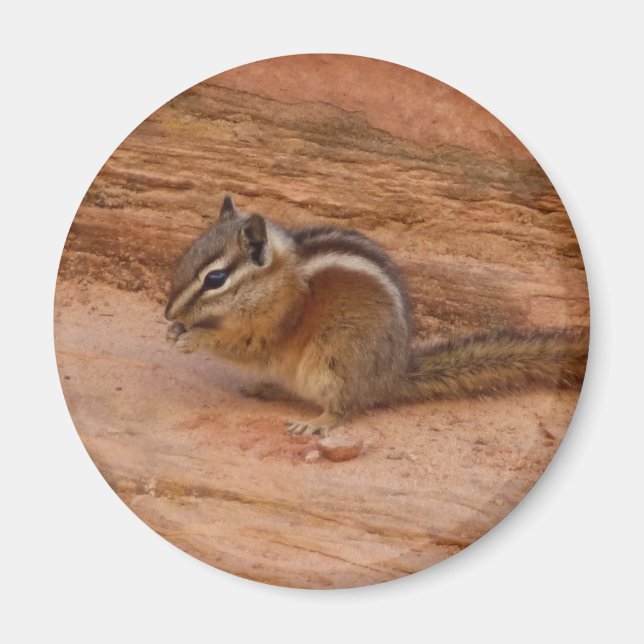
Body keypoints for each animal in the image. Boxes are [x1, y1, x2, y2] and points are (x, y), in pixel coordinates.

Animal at [165, 196, 588, 436]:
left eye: (215, 278)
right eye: (186, 256)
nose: (167, 310)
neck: (277, 280)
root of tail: (391, 377)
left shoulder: (275, 325)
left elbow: (244, 345)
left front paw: (192, 337)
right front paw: (174, 330)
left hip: (334, 358)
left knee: (346, 407)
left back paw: (316, 422)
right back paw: (267, 389)